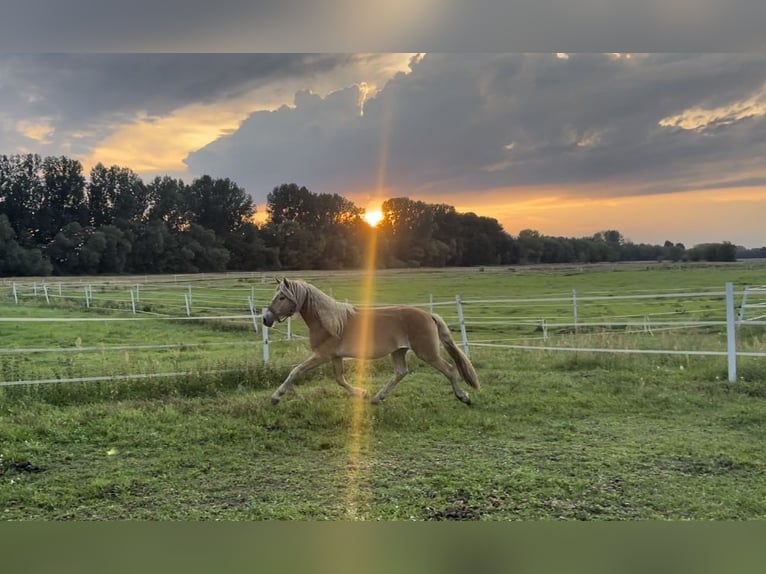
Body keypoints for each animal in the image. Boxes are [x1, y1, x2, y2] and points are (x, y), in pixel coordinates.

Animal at [264, 280, 480, 408]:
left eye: (282, 297)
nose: (266, 319)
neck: (330, 322)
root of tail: (429, 315)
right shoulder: (335, 357)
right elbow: (340, 379)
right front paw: (363, 393)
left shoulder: (322, 355)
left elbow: (296, 371)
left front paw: (276, 397)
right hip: (398, 351)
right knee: (401, 372)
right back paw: (377, 397)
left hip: (427, 353)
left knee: (450, 369)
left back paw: (464, 397)